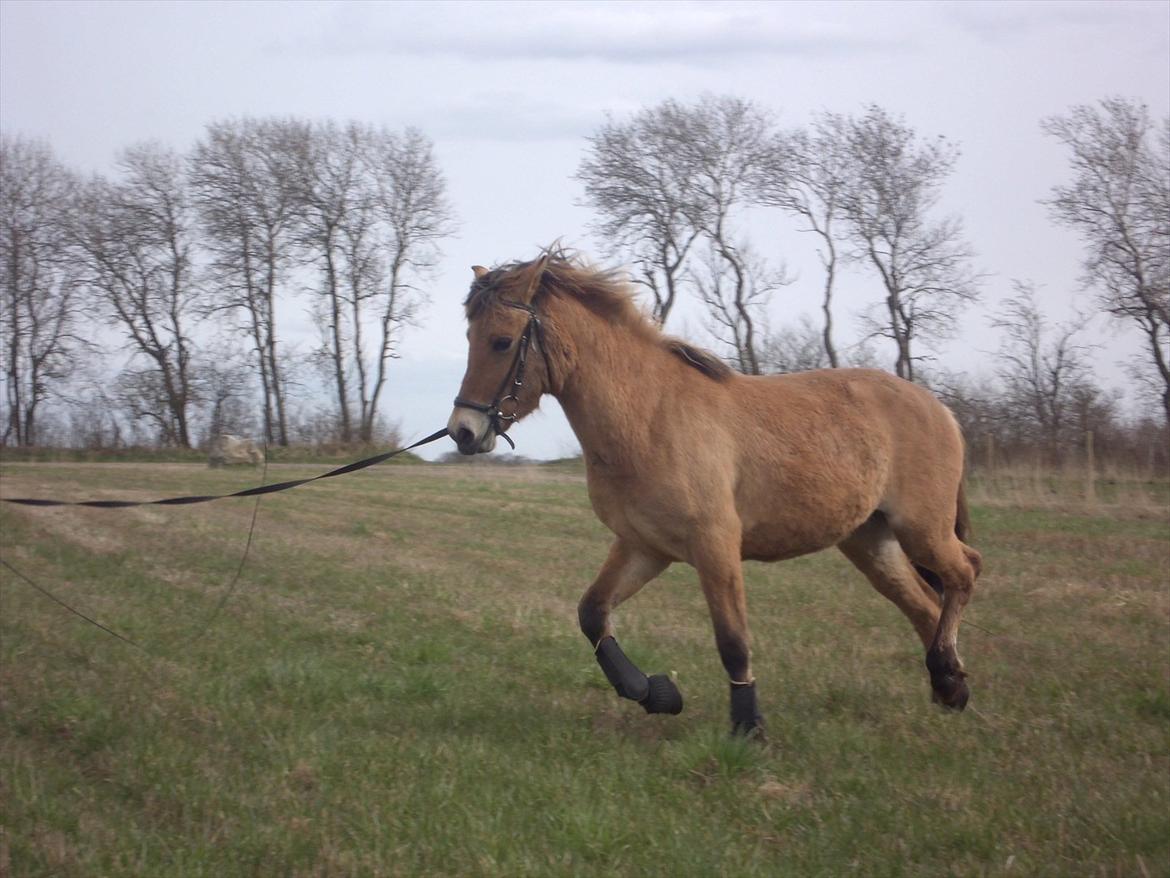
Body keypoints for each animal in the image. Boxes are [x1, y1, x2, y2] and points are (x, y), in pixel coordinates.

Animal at [442, 250, 982, 739]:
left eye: (501, 341)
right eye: (469, 338)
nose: (463, 432)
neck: (650, 416)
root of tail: (938, 407)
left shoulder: (715, 546)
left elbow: (733, 641)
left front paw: (748, 729)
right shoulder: (644, 547)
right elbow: (593, 615)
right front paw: (657, 693)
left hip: (921, 529)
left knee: (964, 573)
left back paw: (947, 674)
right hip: (870, 542)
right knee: (924, 605)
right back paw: (949, 686)